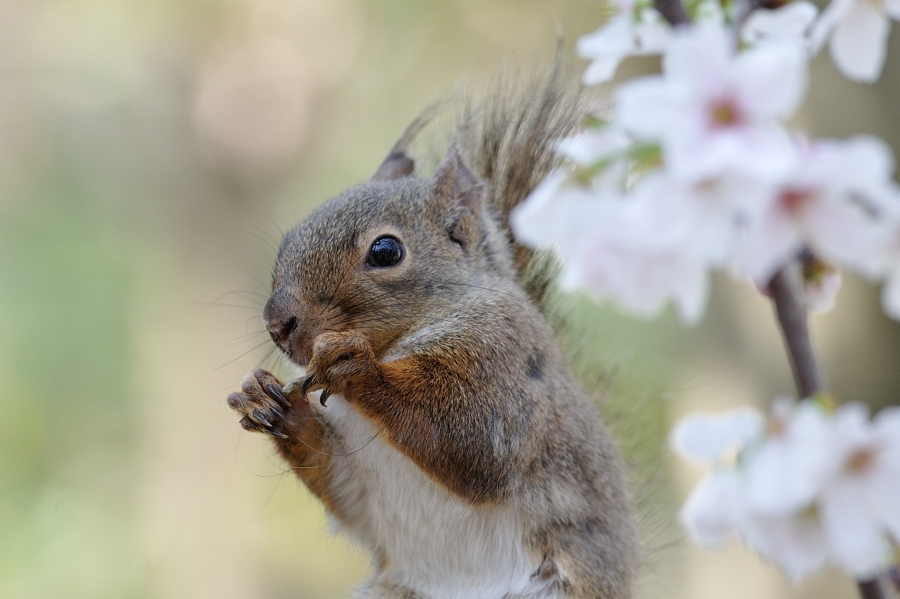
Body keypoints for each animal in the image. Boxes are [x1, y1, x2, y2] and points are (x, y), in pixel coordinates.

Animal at [229, 70, 644, 599]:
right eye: (289, 239)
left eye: (386, 251)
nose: (277, 323)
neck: (400, 342)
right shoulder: (356, 482)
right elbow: (345, 488)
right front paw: (264, 398)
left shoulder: (505, 362)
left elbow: (472, 441)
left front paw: (354, 366)